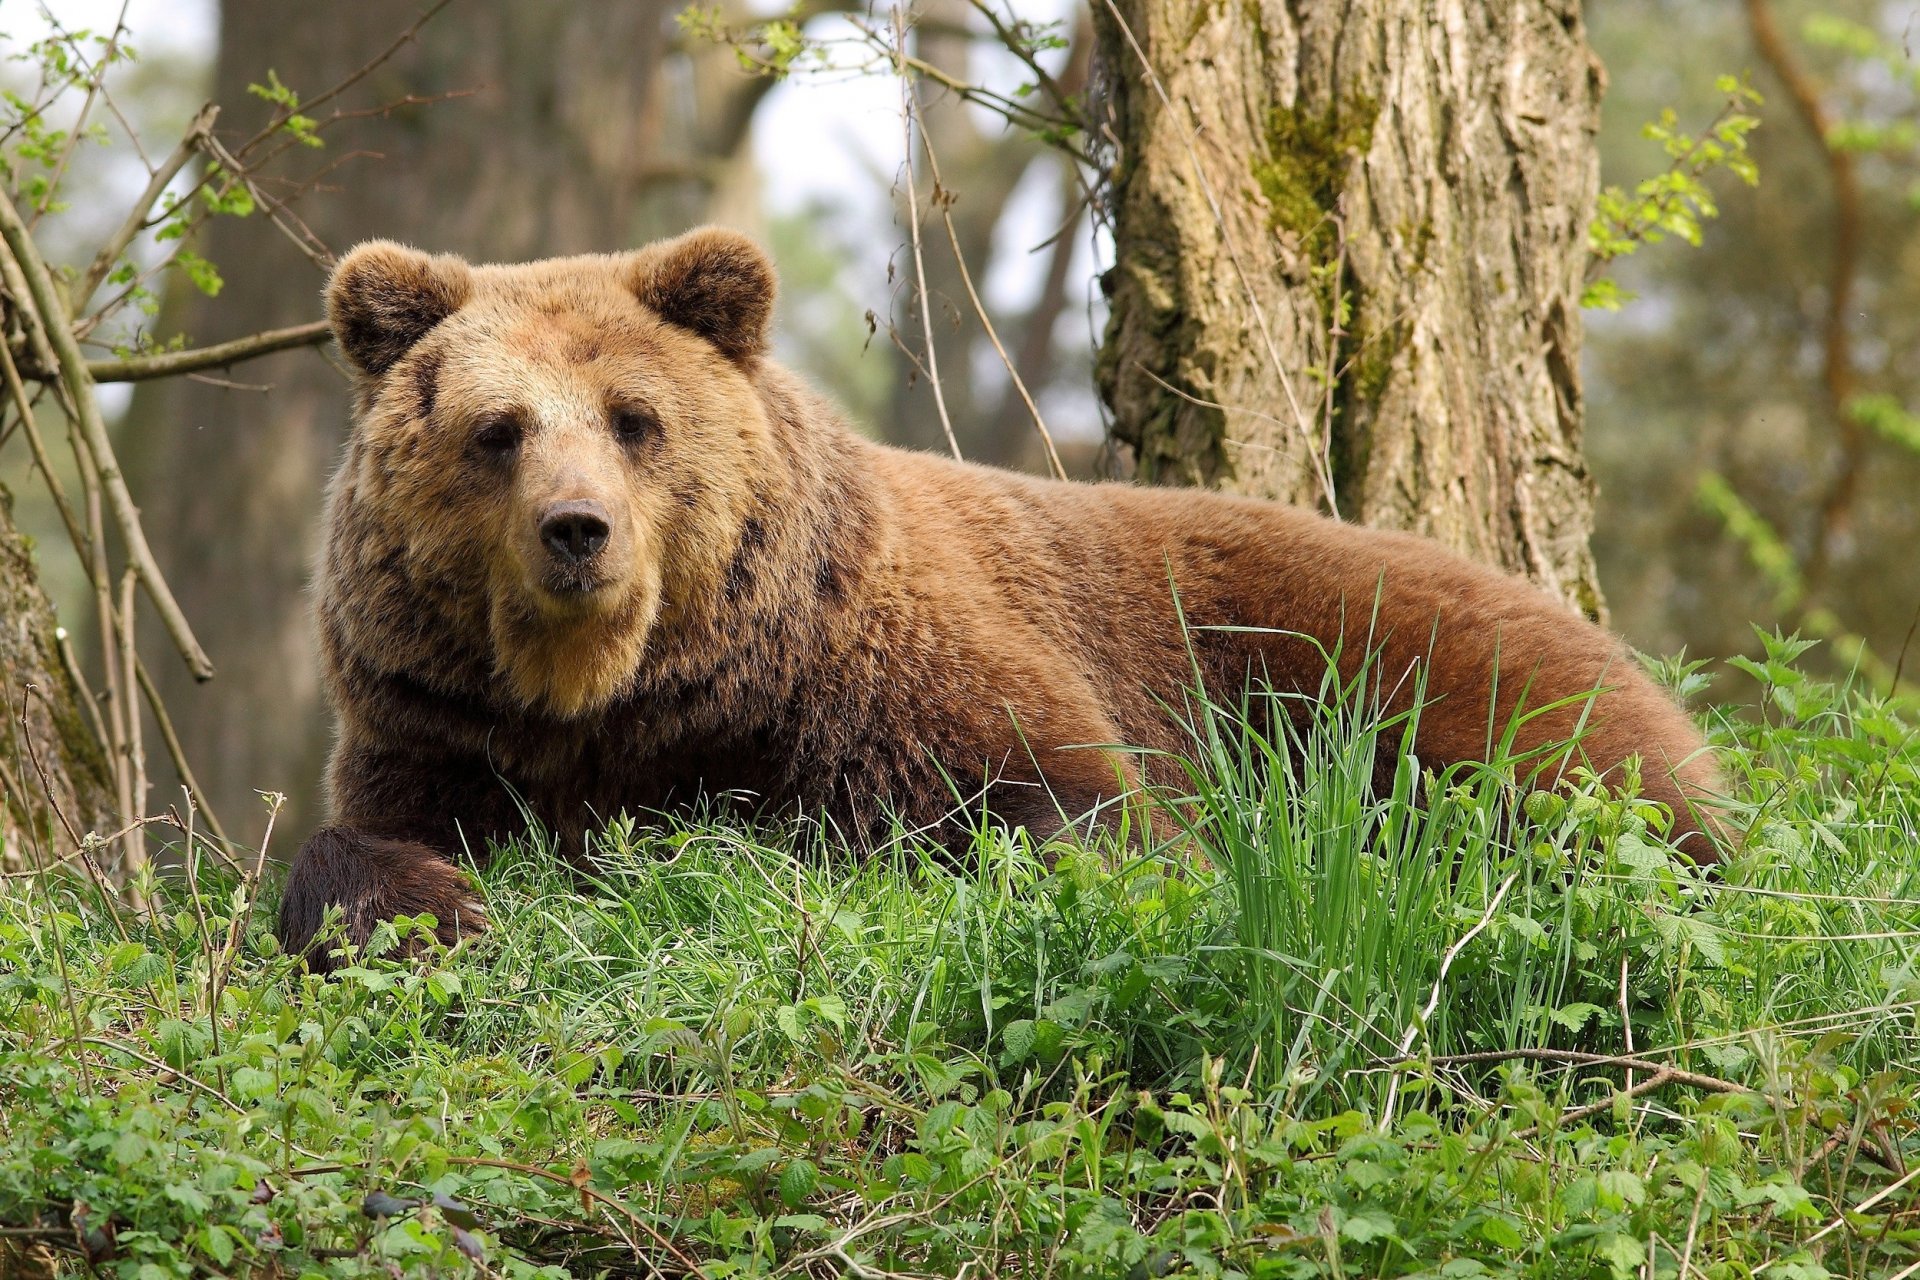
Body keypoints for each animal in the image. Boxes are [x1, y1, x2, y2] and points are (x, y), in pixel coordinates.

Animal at [276, 226, 1724, 970]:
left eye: (636, 419)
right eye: (498, 429)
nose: (577, 532)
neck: (628, 698)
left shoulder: (877, 673)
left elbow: (1065, 817)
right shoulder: (441, 723)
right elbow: (361, 837)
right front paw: (428, 905)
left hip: (1407, 675)